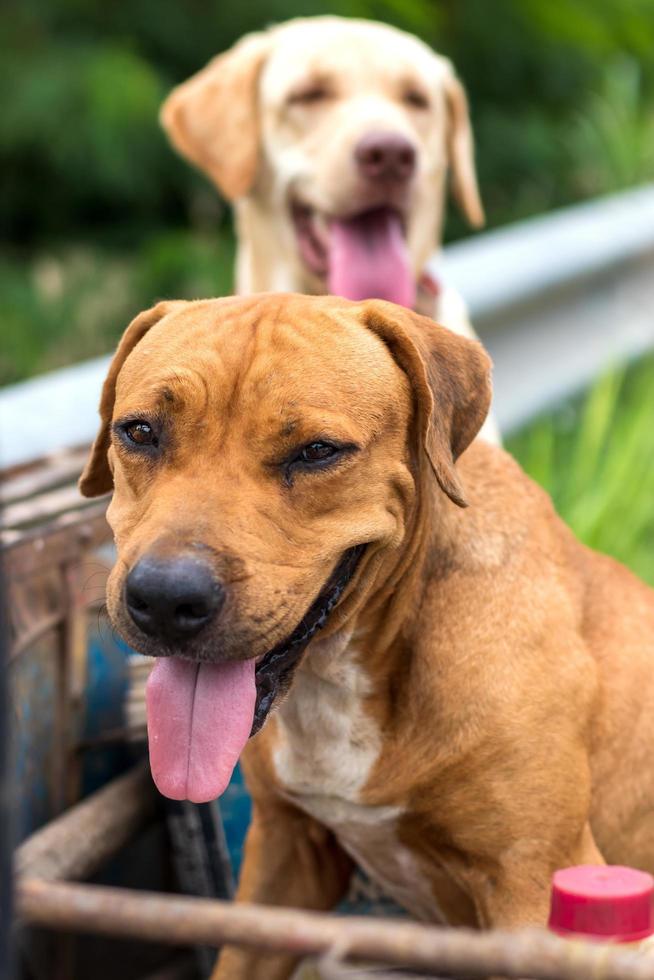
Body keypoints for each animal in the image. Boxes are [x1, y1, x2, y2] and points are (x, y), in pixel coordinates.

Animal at [80, 292, 654, 980]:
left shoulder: (535, 880)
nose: (167, 598)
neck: (343, 672)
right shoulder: (285, 858)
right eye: (140, 431)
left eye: (317, 451)